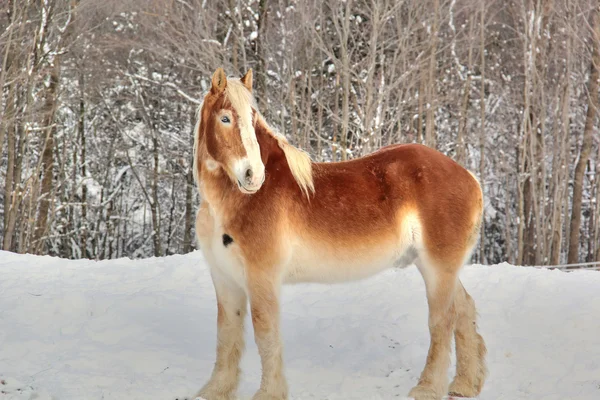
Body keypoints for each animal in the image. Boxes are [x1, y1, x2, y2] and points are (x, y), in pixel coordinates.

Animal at [191, 69, 488, 400]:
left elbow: (265, 334)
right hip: (437, 267)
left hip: (438, 268)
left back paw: (427, 388)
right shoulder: (225, 279)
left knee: (442, 322)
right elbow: (227, 334)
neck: (235, 203)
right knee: (463, 310)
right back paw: (464, 384)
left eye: (252, 118)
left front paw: (269, 393)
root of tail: (469, 177)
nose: (253, 176)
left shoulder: (261, 278)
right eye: (225, 118)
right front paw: (215, 390)